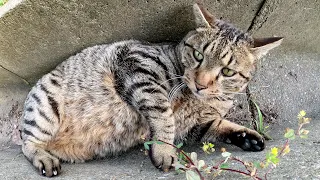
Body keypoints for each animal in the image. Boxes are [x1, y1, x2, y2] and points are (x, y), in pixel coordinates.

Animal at [20, 3, 282, 177]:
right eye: (198, 56)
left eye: (227, 71)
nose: (201, 84)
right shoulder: (137, 64)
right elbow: (164, 115)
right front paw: (164, 150)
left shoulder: (198, 124)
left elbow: (221, 125)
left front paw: (247, 136)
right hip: (44, 106)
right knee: (28, 143)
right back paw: (45, 159)